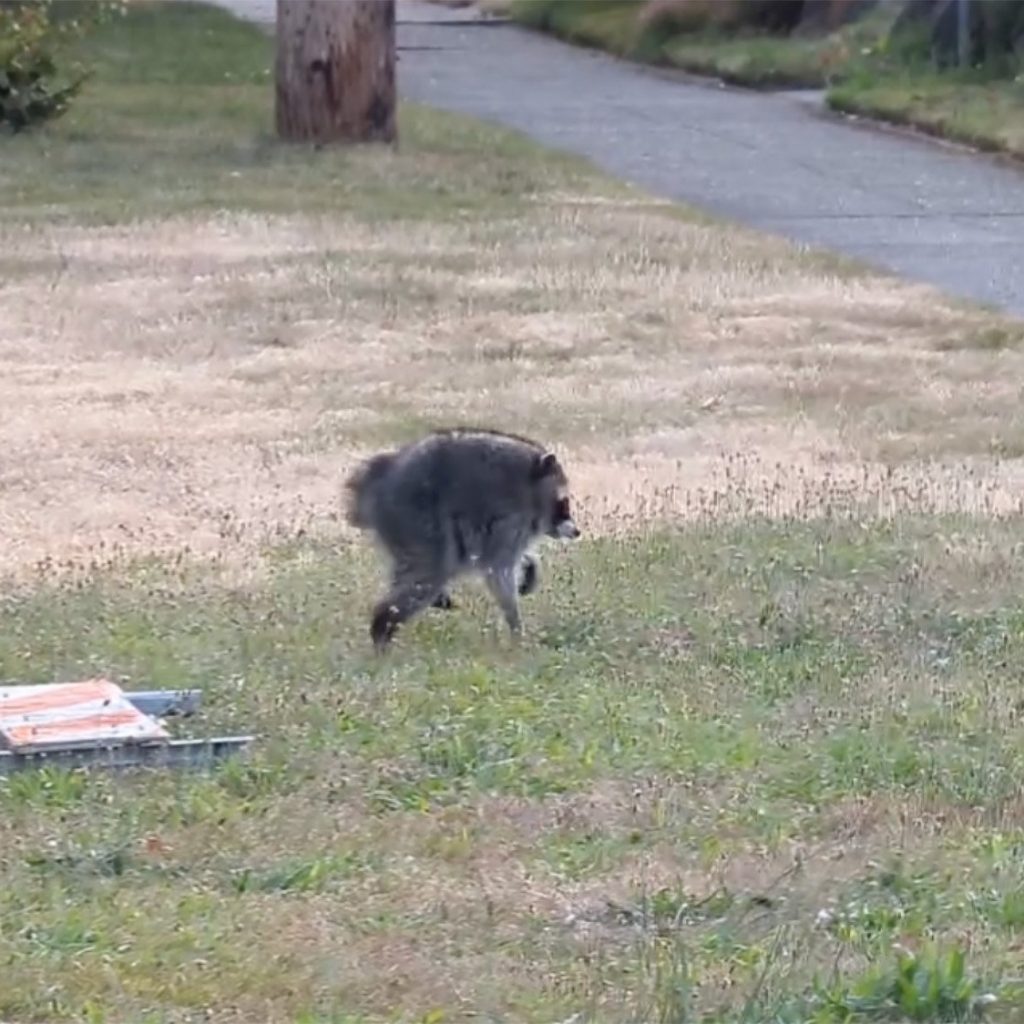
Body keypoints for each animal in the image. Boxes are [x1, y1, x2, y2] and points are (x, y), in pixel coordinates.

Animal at [345, 427, 581, 650]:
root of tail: (377, 479)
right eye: (564, 504)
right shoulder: (510, 519)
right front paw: (516, 627)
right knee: (428, 573)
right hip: (415, 518)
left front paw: (530, 563)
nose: (577, 531)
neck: (532, 485)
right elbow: (498, 571)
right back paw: (382, 627)